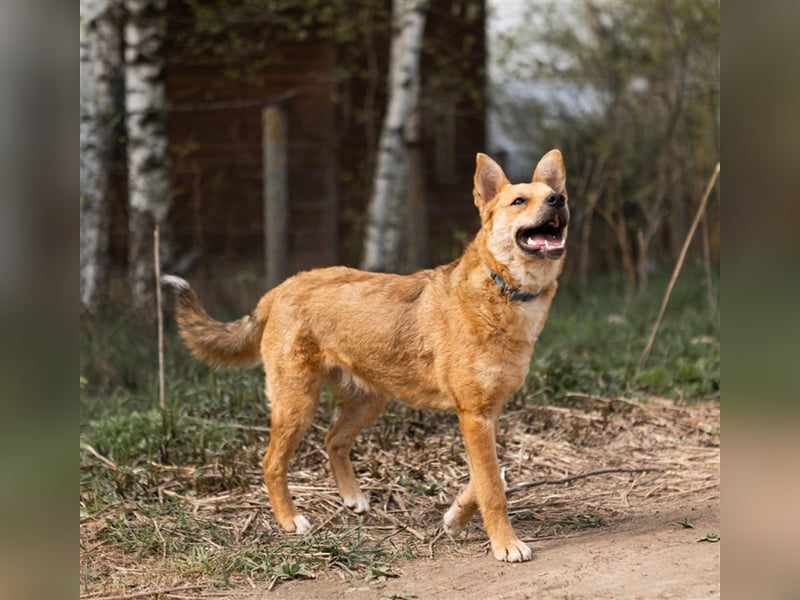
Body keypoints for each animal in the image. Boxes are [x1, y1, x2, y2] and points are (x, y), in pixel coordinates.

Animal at [161, 150, 568, 564]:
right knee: (272, 462)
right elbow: (492, 488)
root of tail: (279, 289)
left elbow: (489, 477)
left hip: (368, 401)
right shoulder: (474, 416)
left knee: (333, 441)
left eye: (554, 194)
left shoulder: (486, 415)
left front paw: (454, 518)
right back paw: (290, 520)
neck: (502, 290)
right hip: (297, 405)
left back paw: (352, 497)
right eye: (519, 201)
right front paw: (506, 543)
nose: (558, 200)